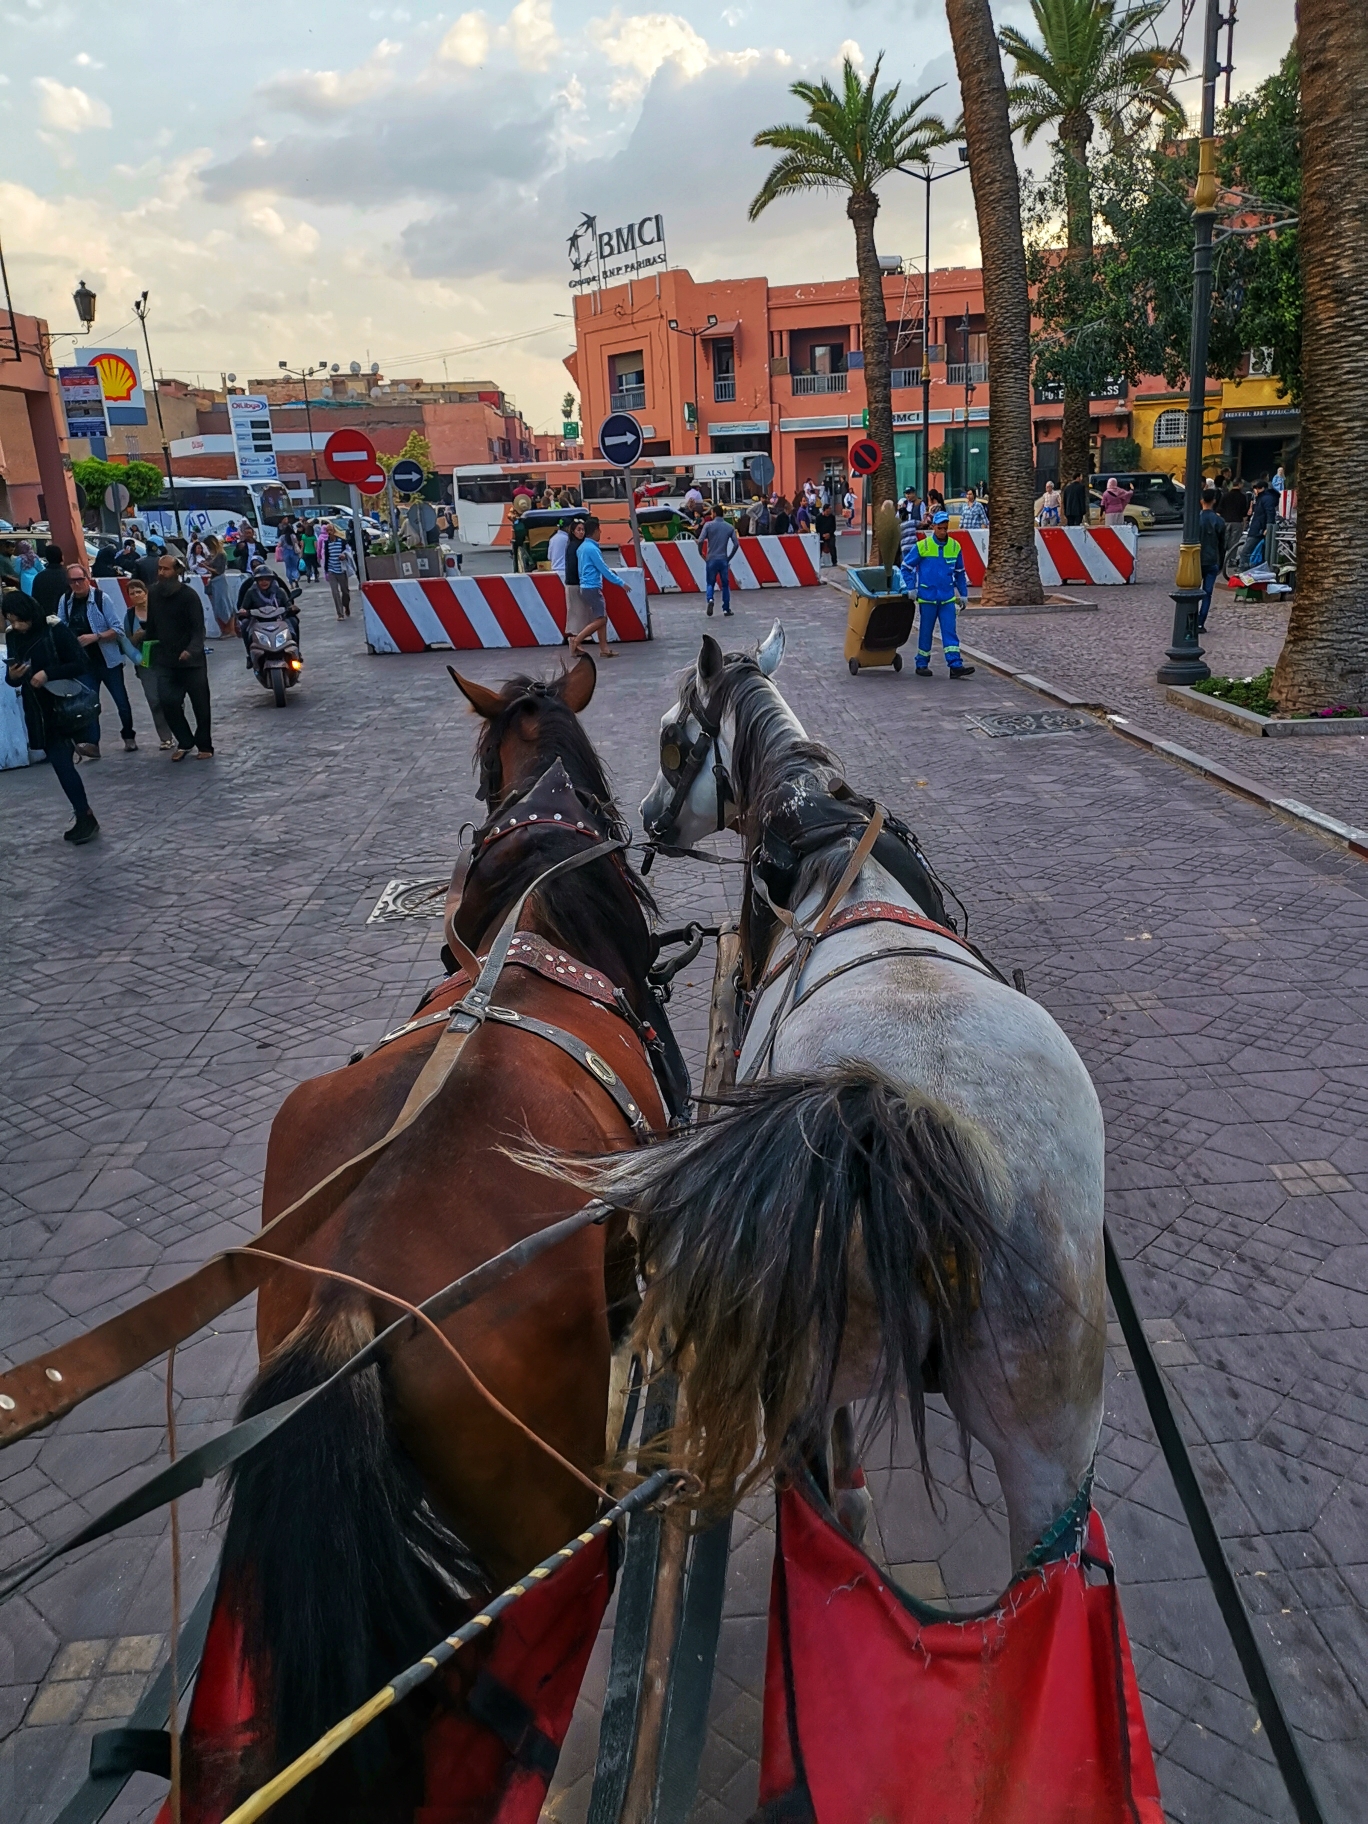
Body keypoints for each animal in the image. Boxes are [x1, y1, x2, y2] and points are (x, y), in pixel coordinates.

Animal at [594, 627, 1108, 1568]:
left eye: (672, 737)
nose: (645, 818)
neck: (830, 853)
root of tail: (921, 1119)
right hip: (1053, 1429)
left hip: (805, 1362)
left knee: (821, 1487)